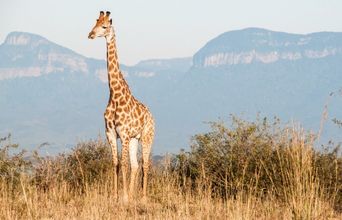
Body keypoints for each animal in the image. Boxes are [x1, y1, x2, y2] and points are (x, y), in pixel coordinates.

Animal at [87, 10, 154, 203]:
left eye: (104, 26)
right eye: (95, 22)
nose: (90, 34)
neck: (115, 95)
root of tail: (152, 115)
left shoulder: (123, 134)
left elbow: (123, 163)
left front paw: (123, 197)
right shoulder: (111, 133)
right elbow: (116, 162)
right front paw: (117, 196)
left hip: (147, 137)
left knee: (145, 164)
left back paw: (143, 197)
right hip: (134, 139)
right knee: (136, 165)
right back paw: (132, 195)